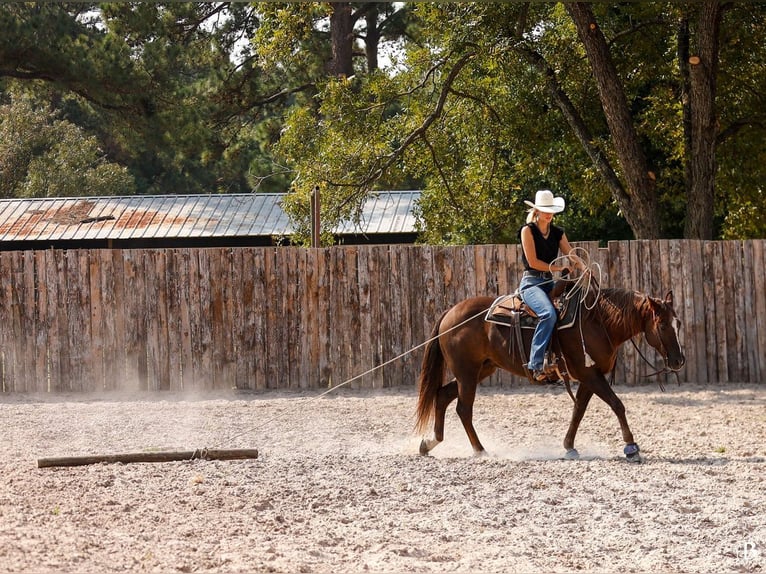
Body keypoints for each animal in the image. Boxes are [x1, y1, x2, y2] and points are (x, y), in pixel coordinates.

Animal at [414, 279, 685, 462]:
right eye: (662, 325)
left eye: (678, 323)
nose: (679, 360)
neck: (598, 322)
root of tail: (450, 313)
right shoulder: (590, 375)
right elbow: (617, 405)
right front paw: (631, 447)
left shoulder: (588, 376)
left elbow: (578, 411)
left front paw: (569, 446)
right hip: (467, 373)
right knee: (463, 409)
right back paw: (480, 450)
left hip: (480, 370)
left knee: (442, 396)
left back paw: (429, 443)